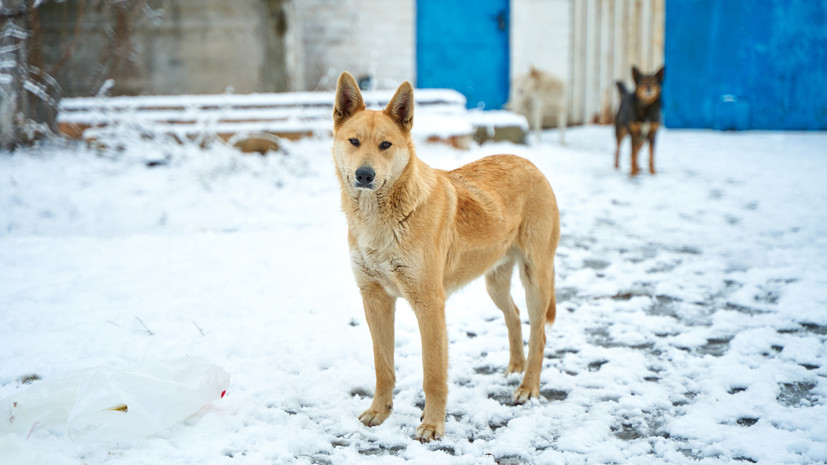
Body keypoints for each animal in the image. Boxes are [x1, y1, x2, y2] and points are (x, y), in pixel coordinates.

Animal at [332, 72, 564, 442]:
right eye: (354, 141)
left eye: (385, 145)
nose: (364, 175)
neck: (380, 221)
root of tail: (528, 162)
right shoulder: (374, 299)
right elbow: (383, 366)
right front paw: (380, 412)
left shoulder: (429, 304)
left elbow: (433, 374)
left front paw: (432, 425)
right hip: (495, 283)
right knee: (514, 317)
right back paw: (514, 368)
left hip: (536, 279)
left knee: (539, 334)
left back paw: (528, 387)